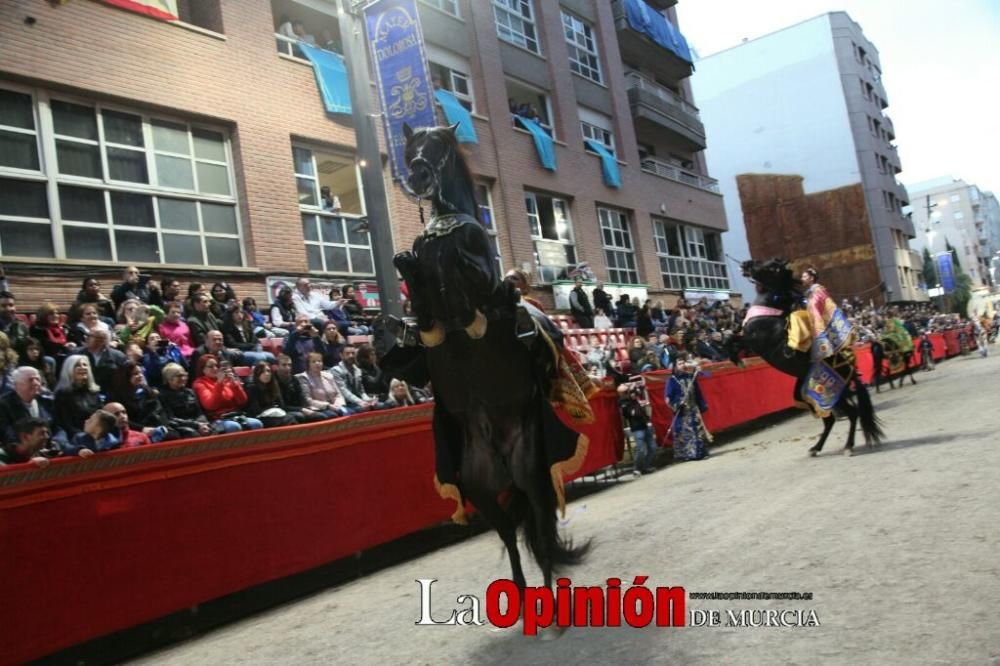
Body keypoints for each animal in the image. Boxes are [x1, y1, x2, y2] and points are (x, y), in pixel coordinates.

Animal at [382, 122, 584, 616]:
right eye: (412, 147)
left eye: (438, 146)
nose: (418, 175)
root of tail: (501, 461)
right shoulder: (427, 311)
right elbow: (415, 281)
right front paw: (411, 262)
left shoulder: (483, 285)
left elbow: (467, 272)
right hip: (478, 488)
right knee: (511, 534)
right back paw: (519, 599)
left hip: (530, 471)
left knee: (539, 523)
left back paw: (548, 603)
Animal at [728, 260, 884, 456]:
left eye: (771, 266)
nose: (746, 264)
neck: (769, 312)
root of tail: (851, 370)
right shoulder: (749, 339)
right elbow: (731, 338)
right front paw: (736, 359)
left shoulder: (754, 340)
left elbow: (731, 339)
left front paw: (737, 359)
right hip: (808, 394)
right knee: (830, 420)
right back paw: (816, 448)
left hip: (834, 394)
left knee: (852, 413)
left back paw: (848, 446)